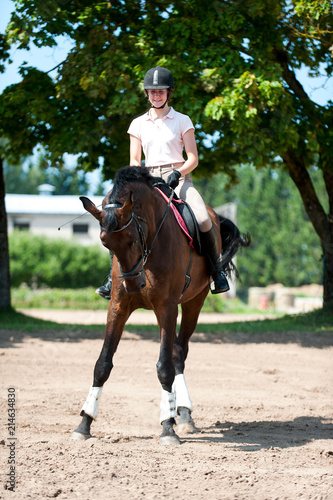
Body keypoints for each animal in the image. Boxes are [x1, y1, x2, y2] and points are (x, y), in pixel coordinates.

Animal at [72, 167, 249, 446]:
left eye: (132, 239)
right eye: (105, 244)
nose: (134, 284)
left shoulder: (167, 308)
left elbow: (164, 367)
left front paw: (167, 428)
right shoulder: (118, 307)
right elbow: (102, 364)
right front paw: (84, 423)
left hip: (193, 303)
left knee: (178, 354)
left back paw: (183, 414)